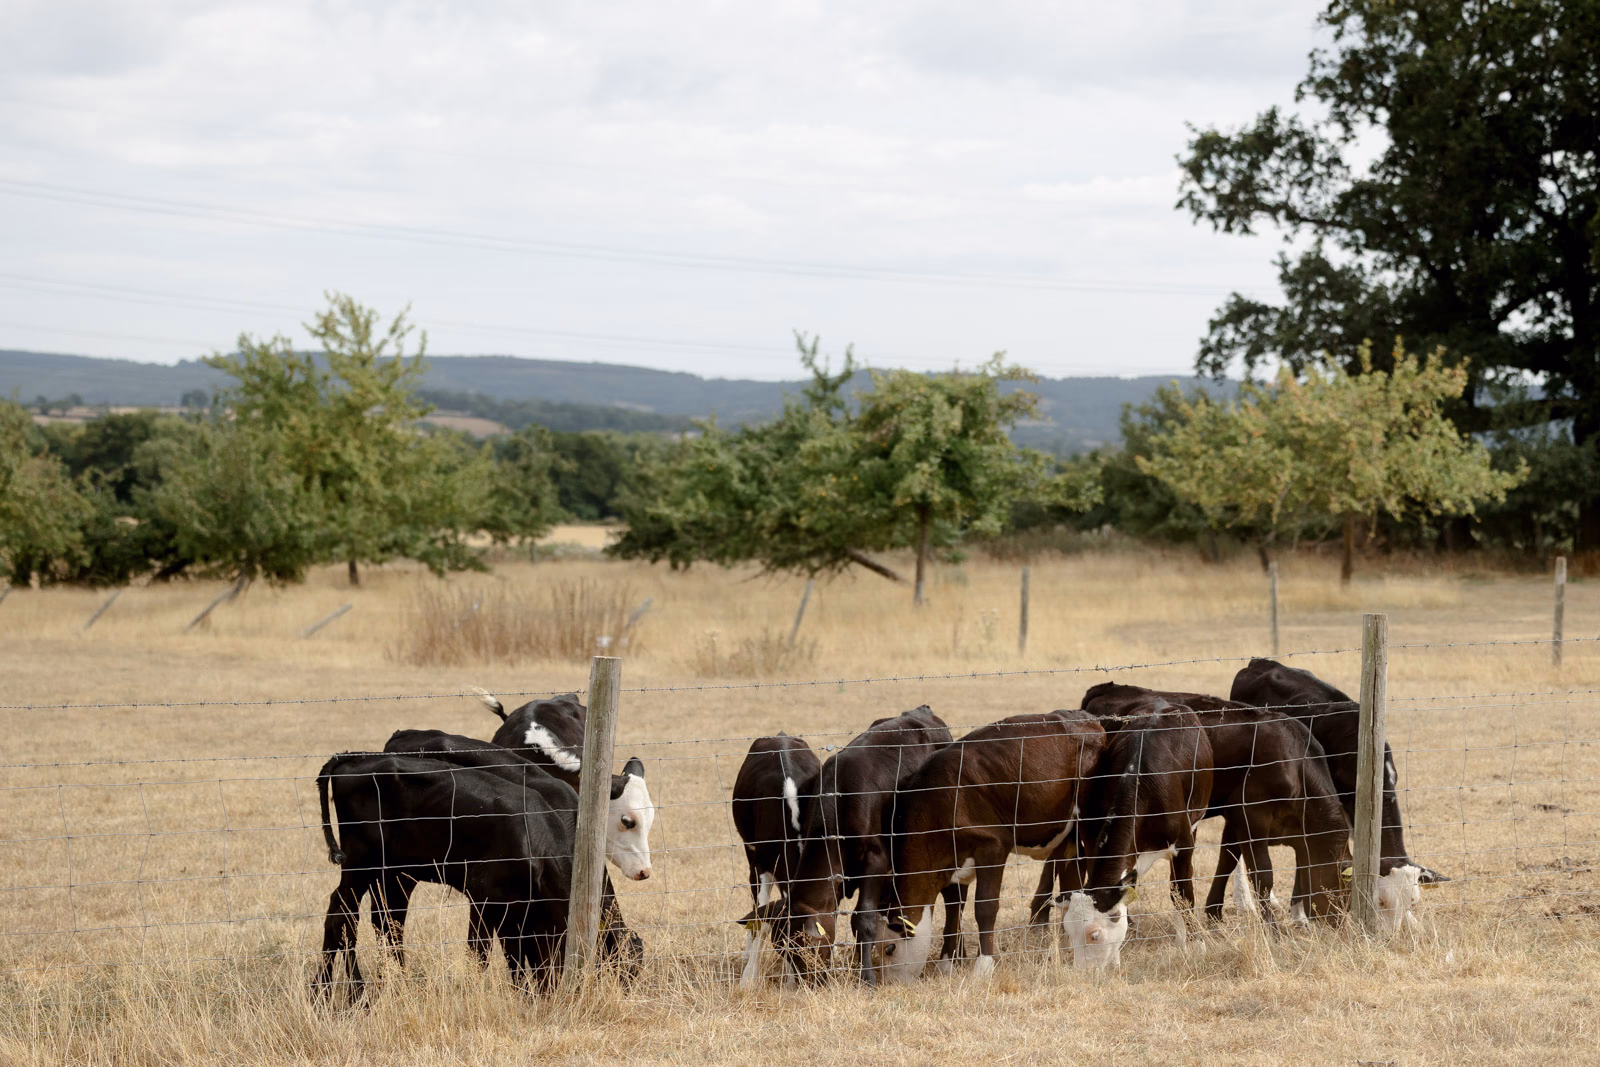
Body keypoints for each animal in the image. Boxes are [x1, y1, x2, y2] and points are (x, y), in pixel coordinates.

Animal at [314, 754, 629, 1001]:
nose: (553, 991)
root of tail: (353, 760)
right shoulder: (483, 897)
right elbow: (480, 953)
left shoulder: (514, 910)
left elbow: (514, 954)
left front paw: (522, 994)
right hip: (360, 865)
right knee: (342, 918)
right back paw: (339, 992)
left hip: (393, 873)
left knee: (385, 922)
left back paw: (389, 984)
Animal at [730, 732, 822, 987]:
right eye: (785, 946)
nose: (809, 980)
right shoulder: (760, 866)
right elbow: (760, 922)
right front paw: (748, 979)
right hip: (750, 852)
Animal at [760, 705, 958, 986]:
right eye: (782, 949)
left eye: (806, 945)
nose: (809, 982)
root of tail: (920, 711)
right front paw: (857, 965)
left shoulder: (876, 861)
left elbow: (864, 919)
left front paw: (867, 977)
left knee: (954, 898)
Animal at [880, 711, 1107, 981]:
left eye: (889, 949)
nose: (890, 983)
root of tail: (1085, 718)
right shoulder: (952, 860)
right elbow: (954, 909)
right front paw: (947, 962)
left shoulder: (993, 846)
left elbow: (985, 906)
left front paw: (984, 965)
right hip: (1067, 832)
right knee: (1071, 875)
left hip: (1089, 822)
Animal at [1078, 683, 1351, 931]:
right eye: (1345, 885)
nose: (1340, 923)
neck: (1295, 764)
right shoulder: (1250, 818)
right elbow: (1263, 875)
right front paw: (1272, 928)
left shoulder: (1241, 822)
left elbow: (1228, 860)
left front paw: (1214, 914)